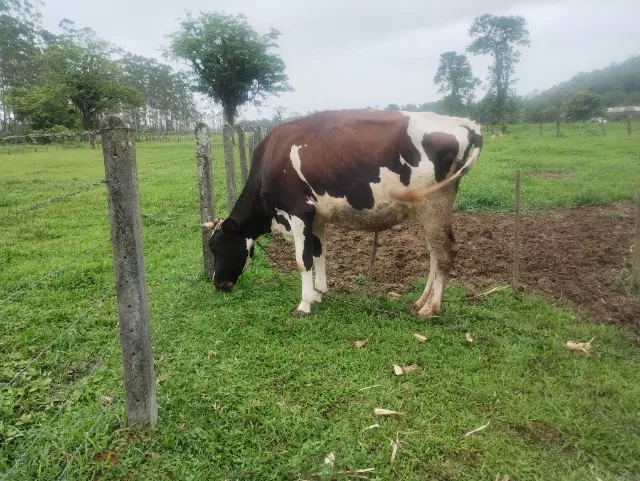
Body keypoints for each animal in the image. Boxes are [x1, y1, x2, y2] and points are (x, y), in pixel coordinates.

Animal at [202, 109, 482, 317]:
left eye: (214, 246)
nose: (217, 284)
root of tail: (460, 121)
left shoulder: (298, 212)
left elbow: (302, 260)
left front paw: (304, 304)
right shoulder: (316, 218)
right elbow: (319, 254)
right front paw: (319, 293)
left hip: (436, 203)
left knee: (445, 251)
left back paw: (431, 308)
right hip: (427, 210)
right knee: (434, 252)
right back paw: (421, 300)